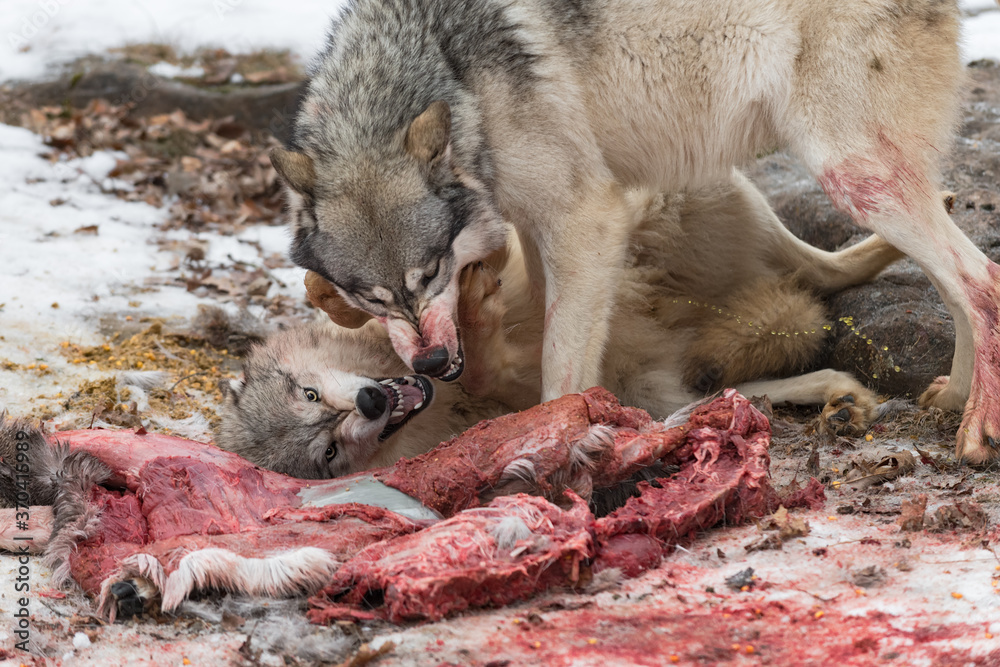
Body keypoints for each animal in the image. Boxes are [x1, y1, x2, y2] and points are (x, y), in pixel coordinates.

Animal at [217, 174, 903, 478]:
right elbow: (497, 367)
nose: (367, 402)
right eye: (327, 452)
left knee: (831, 265)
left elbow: (343, 290)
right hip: (662, 391)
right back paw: (843, 399)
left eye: (309, 393)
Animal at [272, 0, 997, 463]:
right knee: (897, 271)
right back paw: (953, 397)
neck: (454, 72)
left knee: (979, 278)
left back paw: (977, 431)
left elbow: (559, 374)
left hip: (839, 172)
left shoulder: (587, 220)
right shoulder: (544, 230)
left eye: (429, 273)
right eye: (371, 296)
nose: (424, 365)